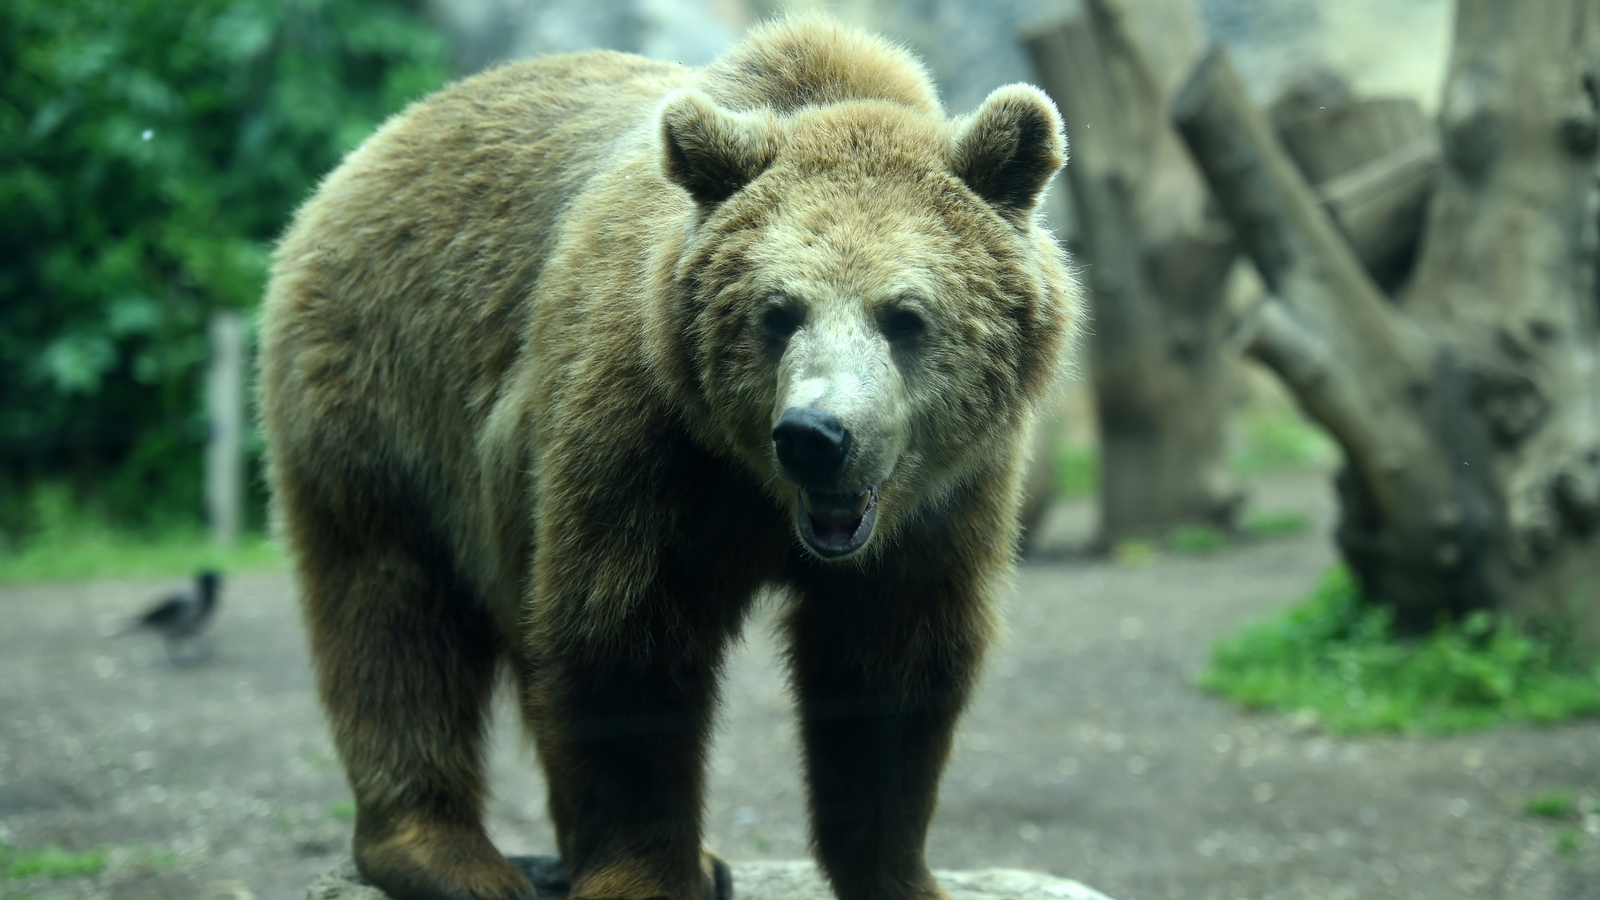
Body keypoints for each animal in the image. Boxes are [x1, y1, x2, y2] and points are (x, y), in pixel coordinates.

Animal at [259, 17, 1075, 896]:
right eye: (777, 312)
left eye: (905, 316)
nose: (816, 436)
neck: (758, 493)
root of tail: (367, 152)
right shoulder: (642, 435)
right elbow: (623, 646)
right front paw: (649, 871)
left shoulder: (949, 499)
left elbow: (891, 671)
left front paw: (897, 871)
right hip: (387, 396)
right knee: (392, 615)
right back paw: (445, 852)